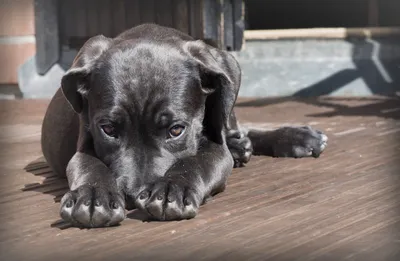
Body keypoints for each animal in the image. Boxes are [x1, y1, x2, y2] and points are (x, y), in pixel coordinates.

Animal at [41, 24, 328, 228]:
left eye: (176, 130)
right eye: (108, 130)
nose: (133, 196)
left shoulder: (215, 148)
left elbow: (196, 162)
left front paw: (172, 189)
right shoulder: (84, 145)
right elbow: (89, 165)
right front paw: (92, 196)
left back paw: (294, 138)